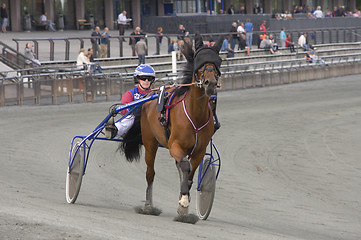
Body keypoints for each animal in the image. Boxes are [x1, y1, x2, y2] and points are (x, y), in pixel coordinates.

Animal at [119, 33, 222, 221]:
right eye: (200, 62)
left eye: (218, 61)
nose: (210, 83)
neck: (195, 116)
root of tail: (150, 95)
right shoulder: (175, 145)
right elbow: (185, 167)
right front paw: (183, 202)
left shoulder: (199, 150)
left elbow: (190, 173)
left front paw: (184, 203)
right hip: (150, 143)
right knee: (150, 173)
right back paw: (148, 206)